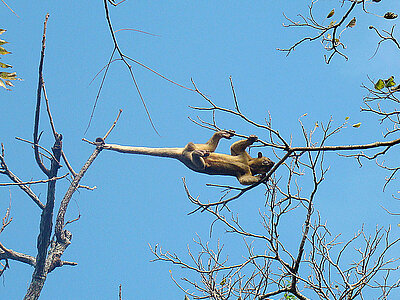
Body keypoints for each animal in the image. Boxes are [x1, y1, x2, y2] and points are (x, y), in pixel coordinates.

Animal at [99, 131, 276, 185]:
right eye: (266, 159)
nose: (272, 162)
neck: (249, 164)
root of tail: (183, 152)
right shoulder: (243, 156)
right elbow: (234, 148)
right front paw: (252, 139)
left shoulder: (246, 170)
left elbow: (243, 180)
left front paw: (263, 178)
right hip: (192, 157)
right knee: (205, 155)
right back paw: (219, 136)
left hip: (193, 155)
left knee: (207, 152)